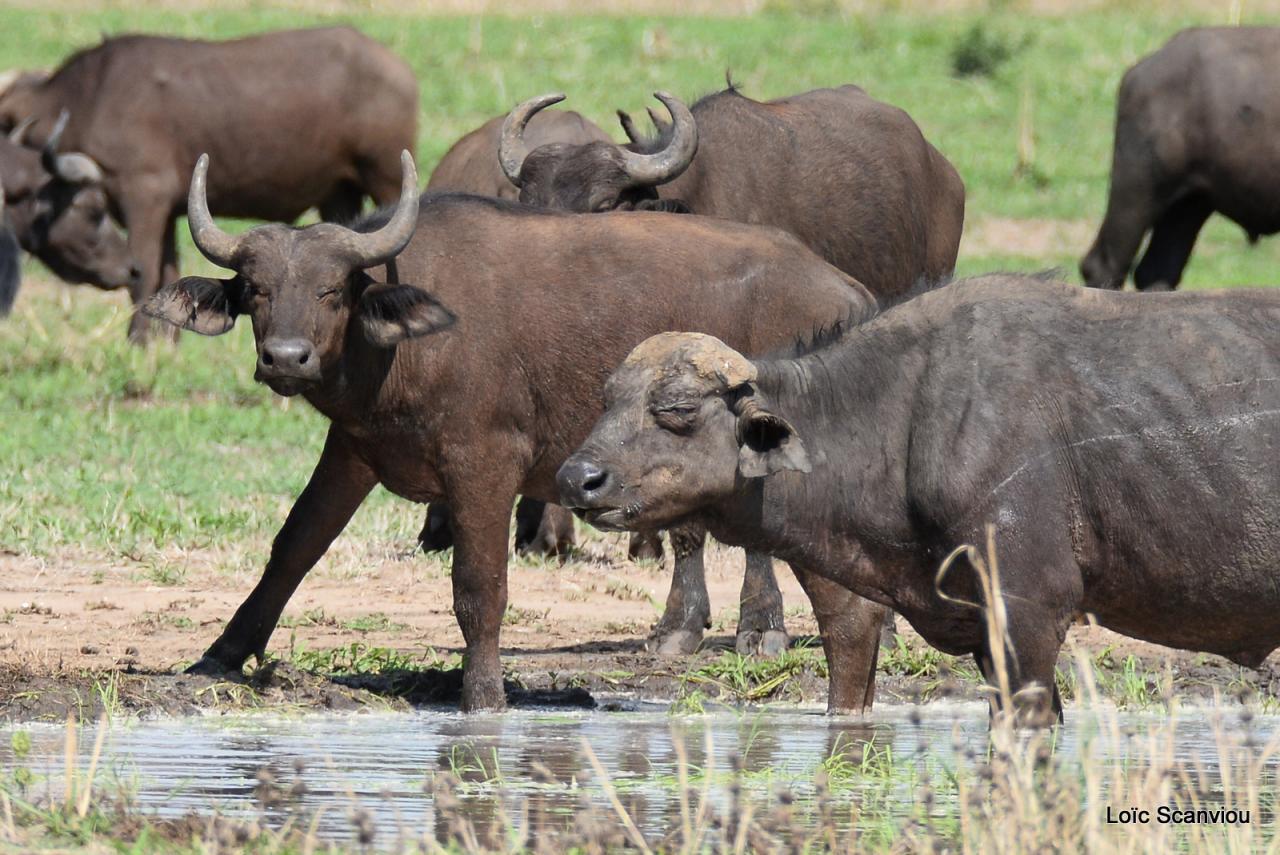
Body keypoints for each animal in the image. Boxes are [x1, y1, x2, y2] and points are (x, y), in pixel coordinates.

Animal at [140, 150, 880, 711]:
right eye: (257, 288)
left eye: (331, 290)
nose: (286, 358)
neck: (403, 345)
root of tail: (848, 291)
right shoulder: (353, 452)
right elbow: (294, 545)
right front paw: (219, 655)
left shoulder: (484, 466)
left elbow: (479, 585)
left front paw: (483, 695)